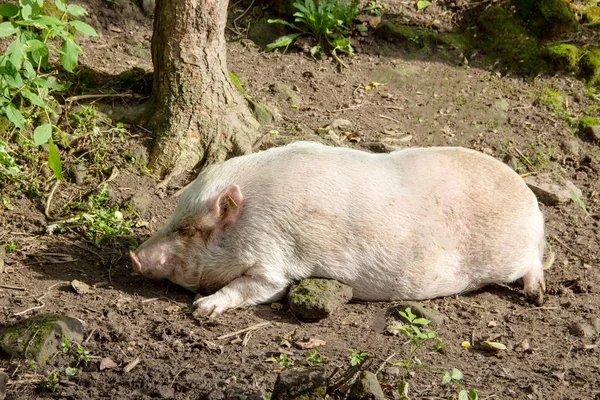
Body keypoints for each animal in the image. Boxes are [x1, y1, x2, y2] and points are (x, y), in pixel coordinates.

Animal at [129, 142, 552, 318]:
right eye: (172, 216)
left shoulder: (274, 260)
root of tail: (531, 201)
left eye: (189, 229)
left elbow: (258, 288)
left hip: (509, 257)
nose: (132, 257)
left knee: (533, 263)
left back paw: (537, 296)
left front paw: (201, 310)